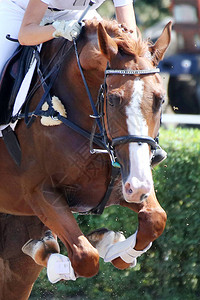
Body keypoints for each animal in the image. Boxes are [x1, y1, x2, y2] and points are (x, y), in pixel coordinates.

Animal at [0, 18, 171, 298]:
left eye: (160, 99)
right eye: (112, 99)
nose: (138, 187)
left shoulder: (121, 181)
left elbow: (155, 219)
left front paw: (114, 248)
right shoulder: (38, 193)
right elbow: (84, 257)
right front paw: (48, 251)